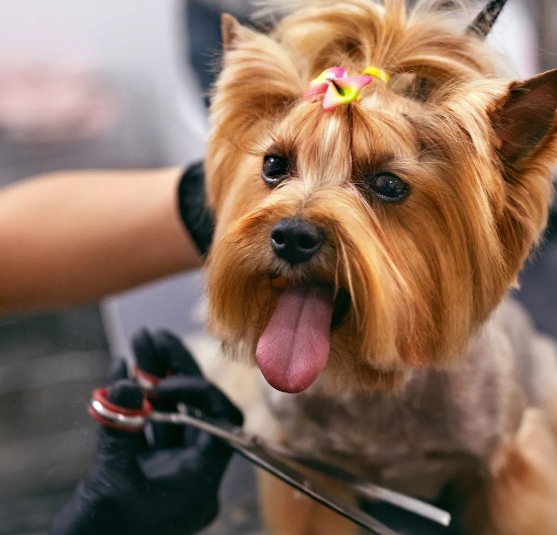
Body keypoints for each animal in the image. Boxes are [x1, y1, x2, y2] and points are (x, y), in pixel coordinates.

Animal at [202, 2, 556, 532]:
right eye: (273, 165)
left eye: (388, 185)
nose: (292, 235)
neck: (372, 382)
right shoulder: (309, 471)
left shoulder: (512, 462)